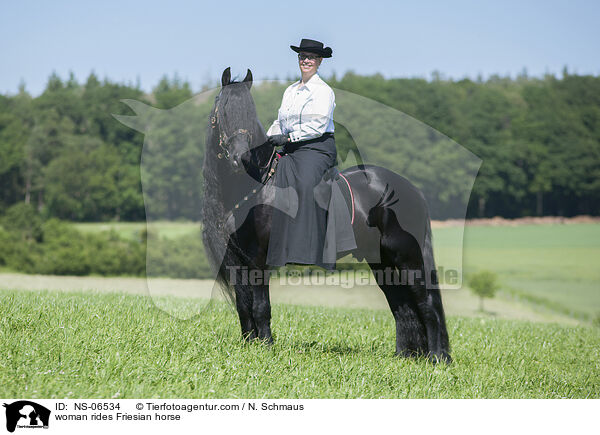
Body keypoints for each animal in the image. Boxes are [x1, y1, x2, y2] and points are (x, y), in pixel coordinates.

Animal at [202, 67, 450, 362]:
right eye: (222, 111)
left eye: (249, 112)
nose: (239, 159)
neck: (259, 186)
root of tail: (412, 190)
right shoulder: (236, 260)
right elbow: (243, 304)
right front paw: (249, 344)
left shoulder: (260, 258)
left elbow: (261, 306)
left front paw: (266, 347)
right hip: (382, 262)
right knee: (401, 306)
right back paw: (404, 356)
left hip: (407, 256)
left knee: (426, 302)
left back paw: (436, 357)